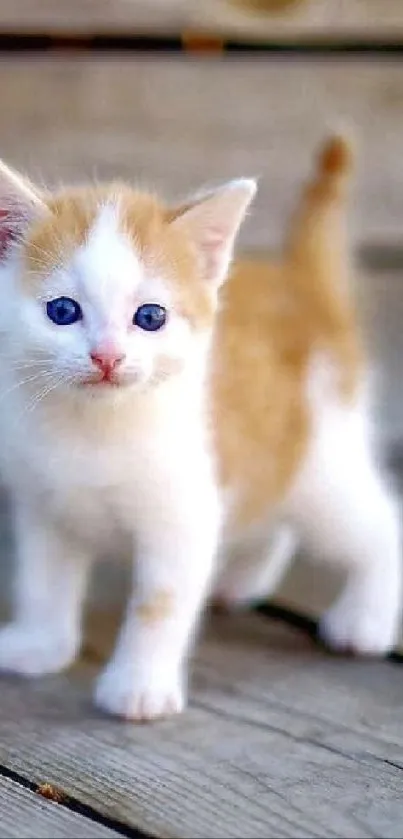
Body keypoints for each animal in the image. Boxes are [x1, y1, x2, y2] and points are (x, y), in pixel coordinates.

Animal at [0, 133, 400, 720]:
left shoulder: (183, 516)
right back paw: (242, 580)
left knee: (380, 524)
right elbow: (44, 582)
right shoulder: (46, 505)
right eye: (63, 311)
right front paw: (41, 644)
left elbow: (159, 604)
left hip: (322, 460)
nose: (107, 357)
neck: (93, 425)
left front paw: (138, 687)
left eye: (150, 317)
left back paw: (365, 620)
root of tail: (300, 280)